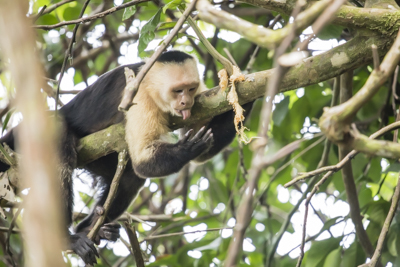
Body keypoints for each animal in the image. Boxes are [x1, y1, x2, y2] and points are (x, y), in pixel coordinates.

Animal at [0, 50, 253, 266]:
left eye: (190, 89)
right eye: (177, 91)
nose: (185, 102)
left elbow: (201, 152)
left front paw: (245, 97)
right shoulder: (138, 95)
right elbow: (143, 161)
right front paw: (189, 146)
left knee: (129, 178)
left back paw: (90, 229)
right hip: (41, 132)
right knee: (61, 153)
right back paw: (67, 238)